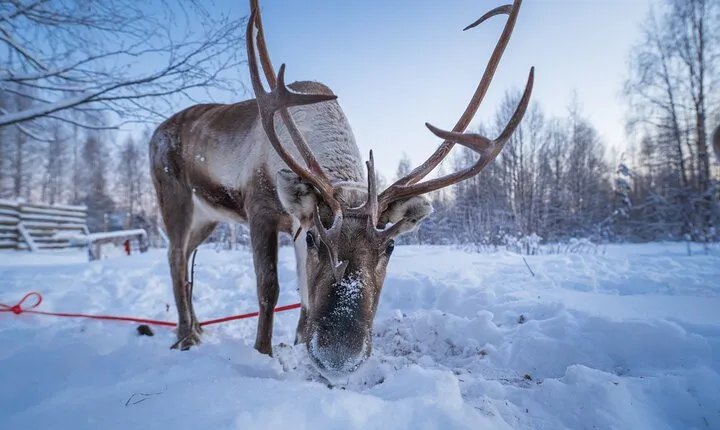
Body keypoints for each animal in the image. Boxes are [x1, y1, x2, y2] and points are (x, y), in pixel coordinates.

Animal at [149, 0, 533, 380]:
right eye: (314, 239)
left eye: (391, 246)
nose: (338, 357)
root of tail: (156, 132)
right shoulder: (263, 210)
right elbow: (268, 287)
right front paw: (262, 354)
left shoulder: (297, 219)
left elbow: (304, 294)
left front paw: (301, 343)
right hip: (174, 198)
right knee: (175, 258)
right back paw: (185, 336)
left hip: (207, 218)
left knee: (185, 258)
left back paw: (198, 328)